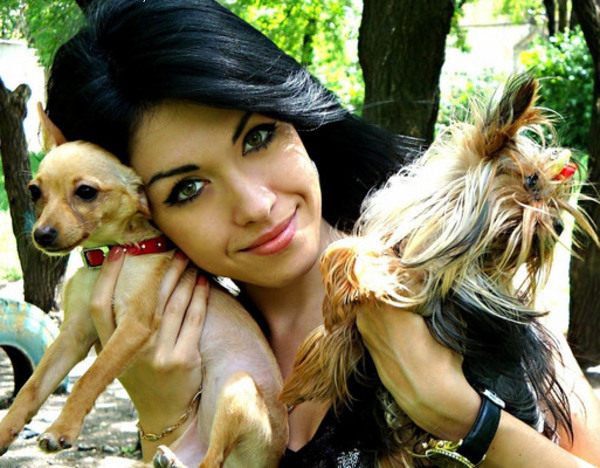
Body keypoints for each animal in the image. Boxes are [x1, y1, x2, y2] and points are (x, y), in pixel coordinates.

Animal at [0, 104, 288, 468]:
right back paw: (171, 458)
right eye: (34, 191)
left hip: (238, 389)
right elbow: (31, 388)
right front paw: (3, 433)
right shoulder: (73, 335)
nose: (41, 235)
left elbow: (90, 378)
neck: (110, 256)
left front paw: (62, 428)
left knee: (213, 460)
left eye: (86, 192)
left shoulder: (133, 326)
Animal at [280, 74, 599, 466]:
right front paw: (305, 376)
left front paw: (367, 276)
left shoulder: (442, 302)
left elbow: (378, 265)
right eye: (532, 181)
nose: (557, 226)